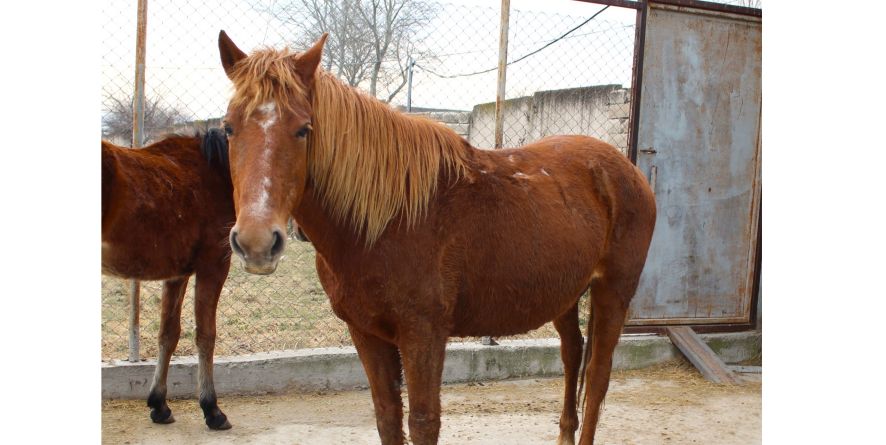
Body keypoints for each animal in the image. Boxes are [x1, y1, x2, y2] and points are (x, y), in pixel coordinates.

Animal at [101, 130, 236, 428]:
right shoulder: (214, 265)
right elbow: (206, 334)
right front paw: (212, 410)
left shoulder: (177, 275)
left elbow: (168, 334)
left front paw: (159, 404)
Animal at [219, 32, 656, 444]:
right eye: (227, 128)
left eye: (303, 129)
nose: (257, 242)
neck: (385, 220)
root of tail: (628, 171)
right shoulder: (365, 333)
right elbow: (387, 417)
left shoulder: (423, 335)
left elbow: (423, 422)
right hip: (564, 293)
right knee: (572, 354)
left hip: (613, 292)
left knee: (597, 376)